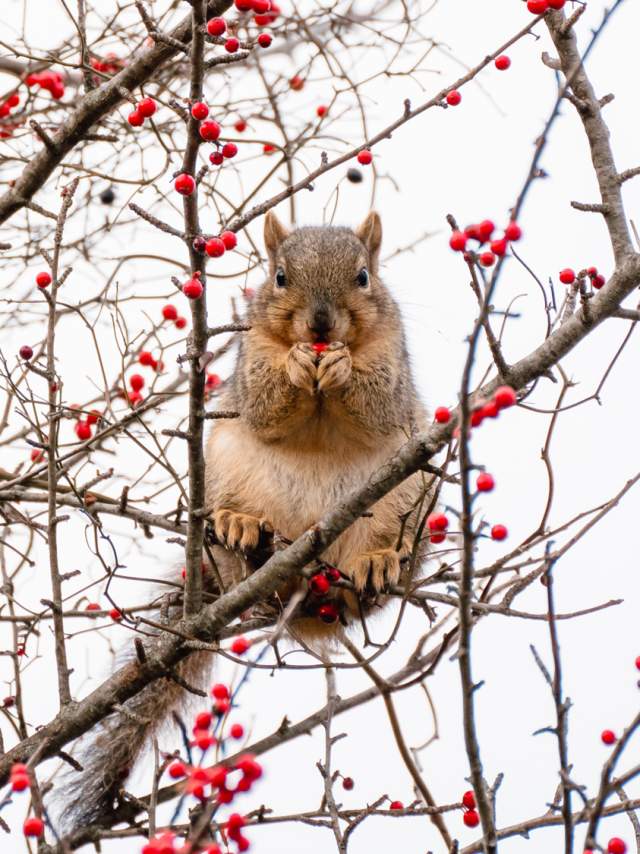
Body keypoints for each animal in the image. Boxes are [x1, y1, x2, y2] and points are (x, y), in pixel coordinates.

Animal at [60, 211, 431, 832]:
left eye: (363, 276)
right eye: (279, 277)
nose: (321, 324)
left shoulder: (395, 357)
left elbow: (377, 397)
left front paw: (341, 365)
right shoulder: (250, 352)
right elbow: (264, 396)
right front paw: (296, 363)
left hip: (410, 495)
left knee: (376, 570)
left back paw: (378, 562)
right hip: (224, 468)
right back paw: (241, 531)